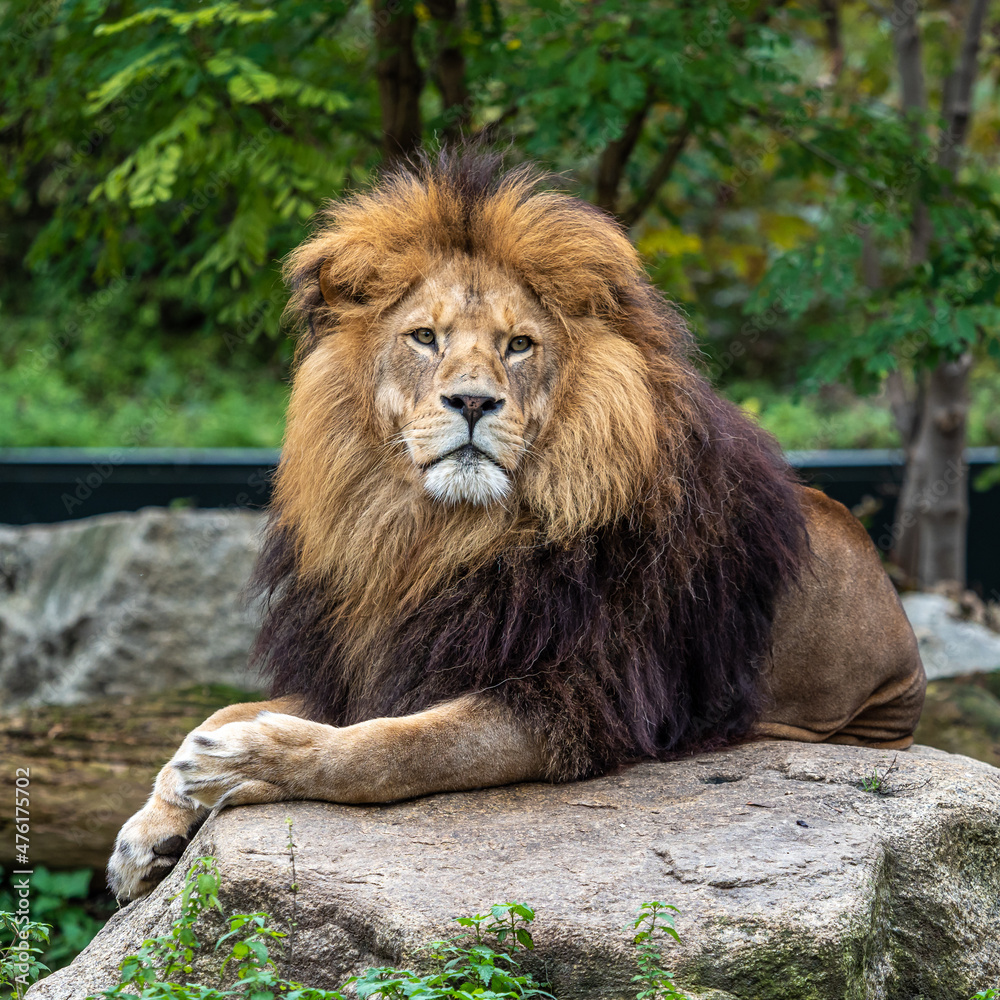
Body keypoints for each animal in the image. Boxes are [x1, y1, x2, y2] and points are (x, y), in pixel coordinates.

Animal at [108, 151, 926, 901]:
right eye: (425, 337)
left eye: (519, 345)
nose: (473, 401)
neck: (438, 536)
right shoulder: (382, 659)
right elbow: (232, 710)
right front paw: (155, 822)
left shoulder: (572, 700)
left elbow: (389, 750)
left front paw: (242, 766)